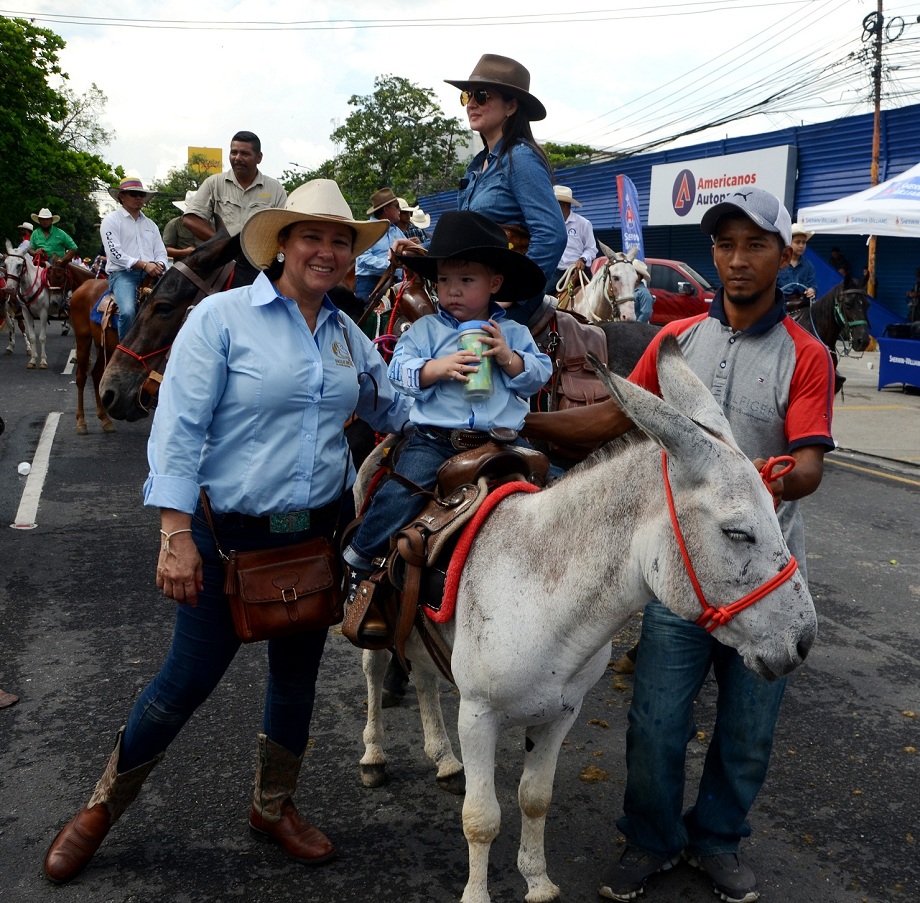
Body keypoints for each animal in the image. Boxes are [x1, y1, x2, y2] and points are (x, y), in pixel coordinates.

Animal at [2, 242, 51, 370]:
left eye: (19, 264)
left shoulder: (43, 313)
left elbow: (42, 337)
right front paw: (33, 360)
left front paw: (43, 361)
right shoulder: (25, 312)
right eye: (6, 264)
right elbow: (32, 336)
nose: (9, 288)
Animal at [356, 340, 816, 903]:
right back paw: (374, 755)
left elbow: (534, 798)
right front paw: (478, 893)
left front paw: (538, 882)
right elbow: (481, 819)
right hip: (372, 615)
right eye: (737, 533)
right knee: (376, 670)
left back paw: (443, 758)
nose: (804, 640)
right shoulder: (479, 714)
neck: (546, 600)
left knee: (422, 674)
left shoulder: (560, 714)